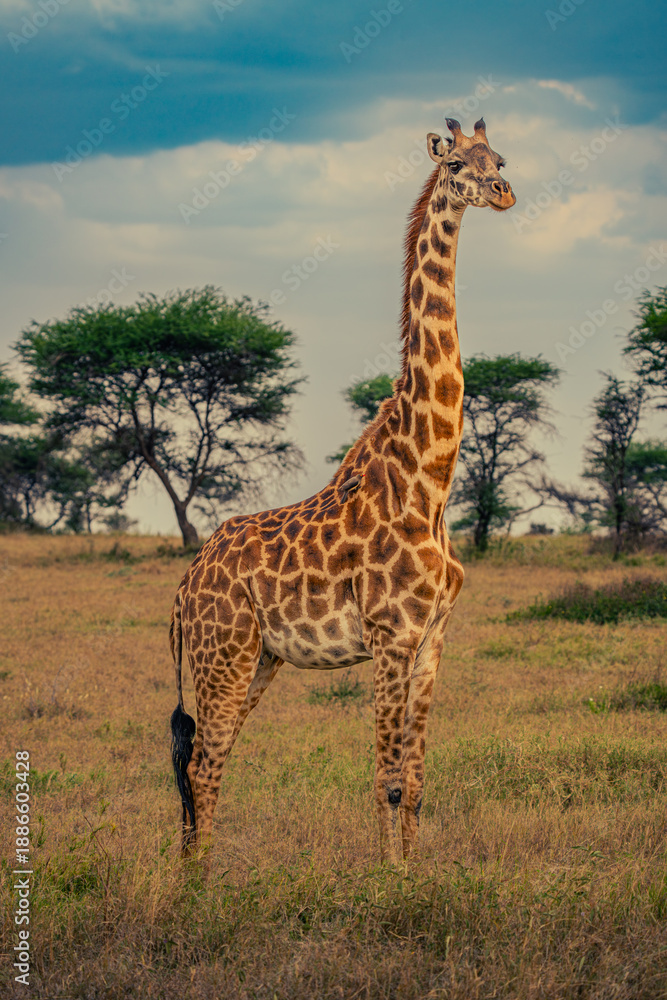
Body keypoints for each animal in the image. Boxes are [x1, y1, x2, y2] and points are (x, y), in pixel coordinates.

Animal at [170, 117, 515, 863]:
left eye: (499, 158)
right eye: (457, 165)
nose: (503, 192)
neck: (428, 480)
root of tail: (184, 588)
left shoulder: (433, 639)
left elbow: (416, 777)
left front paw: (415, 874)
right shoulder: (390, 635)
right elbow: (387, 777)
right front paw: (388, 879)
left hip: (259, 659)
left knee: (207, 760)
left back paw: (194, 872)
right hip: (224, 652)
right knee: (202, 762)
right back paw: (198, 883)